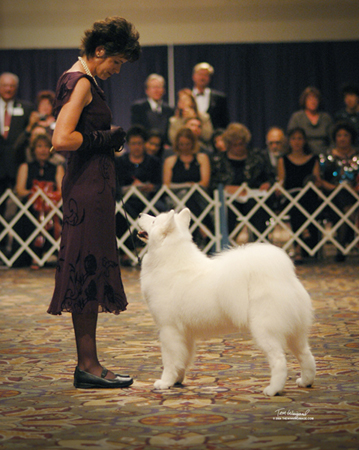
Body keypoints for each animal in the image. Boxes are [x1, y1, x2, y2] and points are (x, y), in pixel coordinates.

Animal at [137, 209, 316, 396]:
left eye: (154, 221)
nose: (140, 214)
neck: (168, 260)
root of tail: (283, 277)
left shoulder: (169, 329)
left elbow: (169, 360)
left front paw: (165, 382)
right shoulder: (184, 333)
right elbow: (183, 359)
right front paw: (177, 380)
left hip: (265, 330)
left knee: (279, 360)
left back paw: (273, 390)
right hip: (295, 331)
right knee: (306, 355)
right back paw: (305, 381)